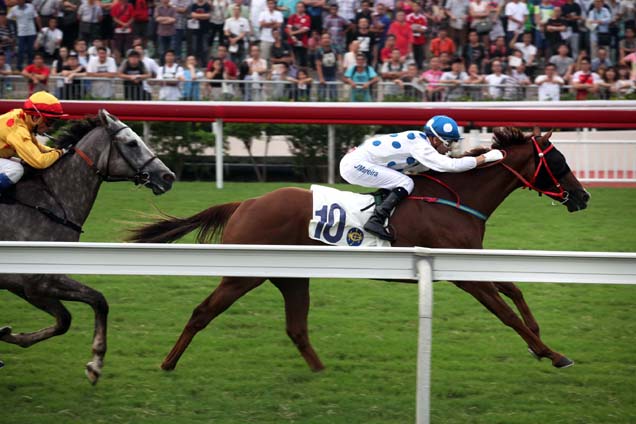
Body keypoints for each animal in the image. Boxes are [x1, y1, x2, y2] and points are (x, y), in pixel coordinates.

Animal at [0, 108, 175, 384]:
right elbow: (91, 304)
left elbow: (71, 316)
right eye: (132, 143)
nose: (168, 176)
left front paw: (7, 334)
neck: (51, 202)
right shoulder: (36, 282)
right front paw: (96, 363)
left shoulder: (23, 284)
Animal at [129, 127, 592, 372]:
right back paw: (168, 364)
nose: (583, 196)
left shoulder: (469, 261)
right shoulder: (462, 275)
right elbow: (505, 313)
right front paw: (552, 353)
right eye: (560, 162)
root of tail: (246, 202)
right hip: (243, 274)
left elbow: (515, 290)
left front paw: (538, 338)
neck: (457, 199)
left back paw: (322, 374)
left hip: (290, 276)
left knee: (296, 327)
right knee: (202, 312)